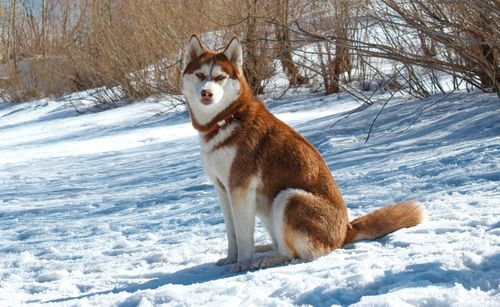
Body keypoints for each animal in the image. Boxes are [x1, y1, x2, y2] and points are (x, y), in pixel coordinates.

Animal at [180, 35, 422, 274]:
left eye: (220, 77)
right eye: (200, 75)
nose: (207, 93)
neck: (227, 120)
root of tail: (346, 231)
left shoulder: (241, 188)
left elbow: (243, 235)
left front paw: (242, 264)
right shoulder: (223, 189)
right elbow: (232, 234)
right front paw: (231, 258)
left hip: (288, 198)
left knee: (296, 253)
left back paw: (269, 259)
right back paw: (265, 248)